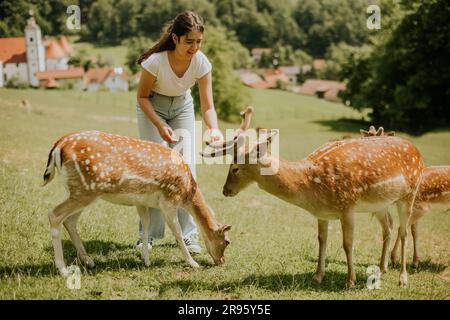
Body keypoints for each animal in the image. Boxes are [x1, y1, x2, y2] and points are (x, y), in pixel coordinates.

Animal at [43, 131, 232, 276]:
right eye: (227, 241)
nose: (222, 261)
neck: (187, 192)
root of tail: (59, 144)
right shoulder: (169, 200)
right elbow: (177, 232)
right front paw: (193, 263)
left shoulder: (141, 202)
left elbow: (146, 225)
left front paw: (146, 260)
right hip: (86, 190)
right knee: (54, 214)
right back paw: (63, 269)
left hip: (79, 190)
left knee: (70, 220)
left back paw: (88, 261)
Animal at [204, 108, 426, 288]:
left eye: (235, 168)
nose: (225, 190)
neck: (311, 186)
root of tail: (418, 151)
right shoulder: (322, 213)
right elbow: (321, 240)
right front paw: (318, 276)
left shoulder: (347, 205)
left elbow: (347, 243)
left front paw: (350, 281)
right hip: (380, 204)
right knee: (388, 226)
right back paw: (381, 269)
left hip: (410, 192)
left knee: (404, 231)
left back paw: (402, 278)